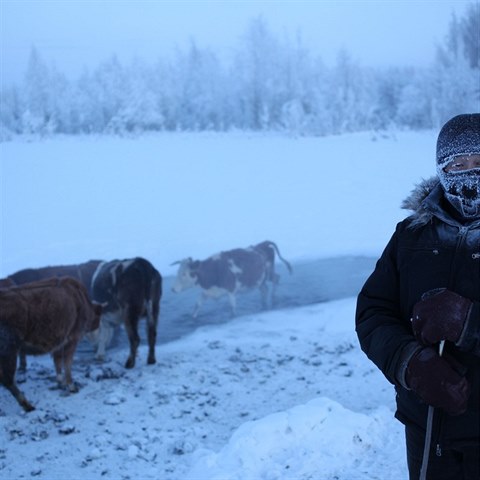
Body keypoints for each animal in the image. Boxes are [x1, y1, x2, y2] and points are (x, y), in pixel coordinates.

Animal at [0, 278, 102, 412]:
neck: (81, 299)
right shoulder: (72, 340)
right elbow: (67, 365)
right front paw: (71, 386)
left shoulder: (59, 343)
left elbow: (58, 363)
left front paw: (60, 382)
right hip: (9, 350)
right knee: (8, 379)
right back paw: (28, 405)